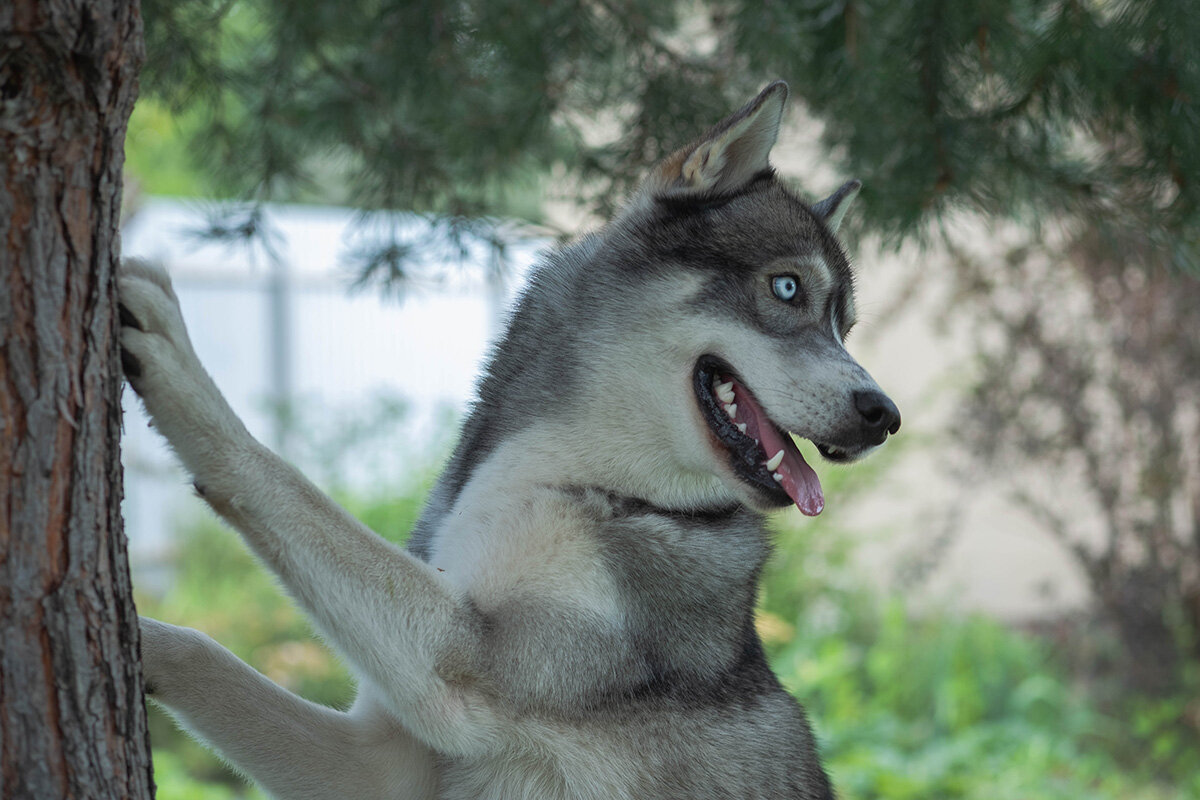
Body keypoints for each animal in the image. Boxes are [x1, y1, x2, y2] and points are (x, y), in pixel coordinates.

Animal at [121, 82, 902, 800]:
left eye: (845, 326)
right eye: (788, 289)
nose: (884, 415)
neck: (564, 481)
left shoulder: (466, 666)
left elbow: (281, 481)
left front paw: (181, 373)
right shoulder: (377, 764)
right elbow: (203, 650)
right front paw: (136, 638)